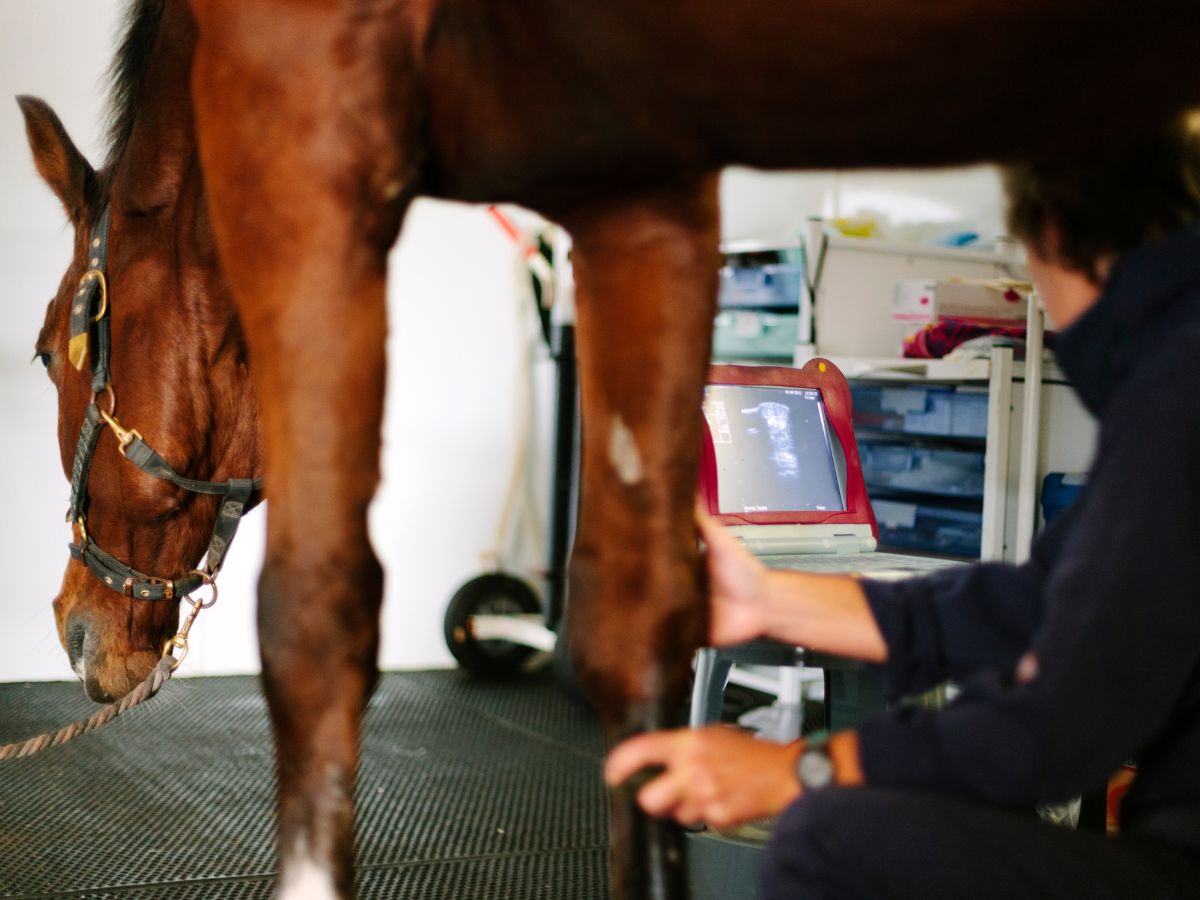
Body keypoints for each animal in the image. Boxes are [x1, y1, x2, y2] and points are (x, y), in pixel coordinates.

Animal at [16, 0, 1200, 897]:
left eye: (41, 349)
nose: (72, 626)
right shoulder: (647, 191)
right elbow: (641, 629)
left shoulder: (304, 117)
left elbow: (314, 623)